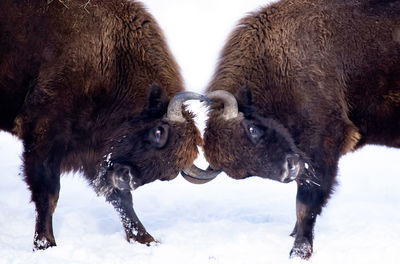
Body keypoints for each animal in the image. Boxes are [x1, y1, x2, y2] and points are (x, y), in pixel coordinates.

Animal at [0, 0, 216, 251]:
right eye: (158, 131)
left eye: (167, 175)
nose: (124, 178)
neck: (113, 58)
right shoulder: (45, 137)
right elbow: (48, 193)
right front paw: (45, 244)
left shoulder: (95, 155)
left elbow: (121, 200)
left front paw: (145, 239)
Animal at [184, 0, 400, 260]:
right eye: (246, 173)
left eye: (252, 128)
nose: (290, 168)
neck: (276, 64)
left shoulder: (322, 148)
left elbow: (306, 205)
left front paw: (299, 251)